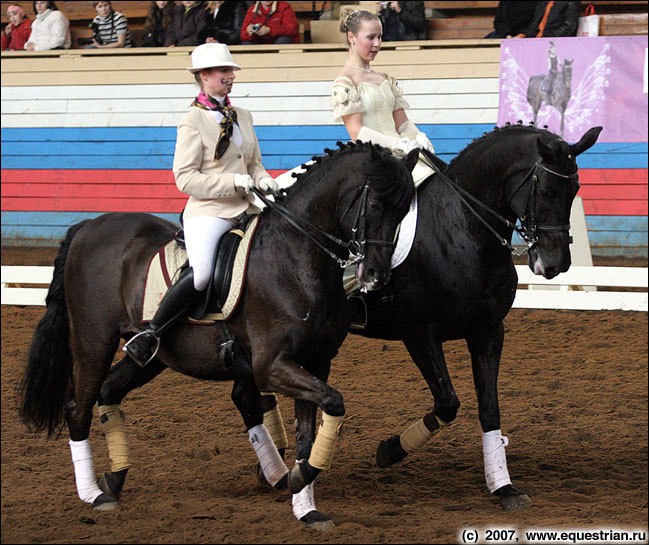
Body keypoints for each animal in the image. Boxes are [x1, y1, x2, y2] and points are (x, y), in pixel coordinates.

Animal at [20, 140, 418, 516]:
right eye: (375, 205)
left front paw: (305, 504)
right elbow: (331, 403)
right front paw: (295, 480)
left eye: (403, 212)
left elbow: (310, 430)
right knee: (79, 407)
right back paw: (93, 494)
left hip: (152, 358)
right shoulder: (270, 366)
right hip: (93, 342)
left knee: (109, 390)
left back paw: (114, 478)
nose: (376, 276)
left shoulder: (316, 361)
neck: (298, 258)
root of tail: (88, 226)